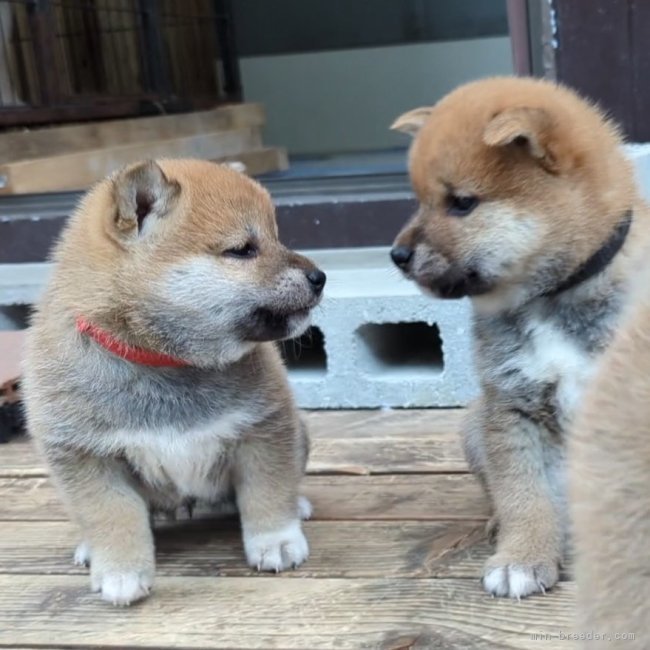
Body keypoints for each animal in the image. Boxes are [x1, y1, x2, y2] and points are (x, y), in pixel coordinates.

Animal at [22, 159, 326, 604]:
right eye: (243, 249)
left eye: (276, 236)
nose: (320, 277)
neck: (164, 360)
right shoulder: (84, 455)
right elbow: (112, 515)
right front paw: (121, 570)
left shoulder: (264, 428)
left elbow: (267, 491)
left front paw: (276, 540)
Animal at [388, 76, 644, 596]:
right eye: (420, 199)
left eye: (462, 202)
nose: (397, 255)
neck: (552, 296)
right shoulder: (510, 402)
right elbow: (522, 495)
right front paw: (523, 555)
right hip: (472, 424)